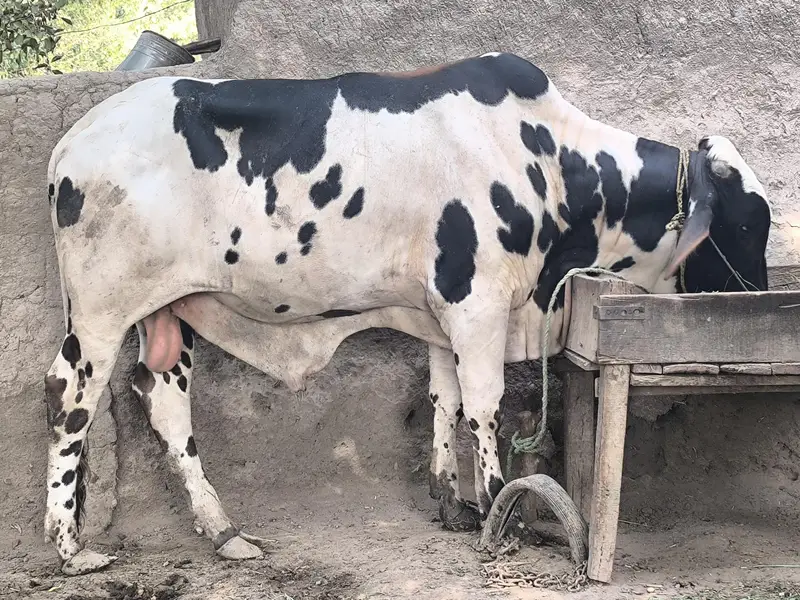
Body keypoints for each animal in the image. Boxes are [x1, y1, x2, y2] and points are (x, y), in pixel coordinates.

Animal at [43, 52, 771, 574]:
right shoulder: (478, 303)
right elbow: (484, 405)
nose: (756, 293)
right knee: (67, 397)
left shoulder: (442, 316)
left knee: (164, 401)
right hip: (100, 314)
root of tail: (70, 144)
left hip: (169, 310)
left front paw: (453, 502)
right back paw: (70, 547)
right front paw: (498, 514)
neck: (551, 166)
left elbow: (444, 399)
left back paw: (224, 533)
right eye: (743, 224)